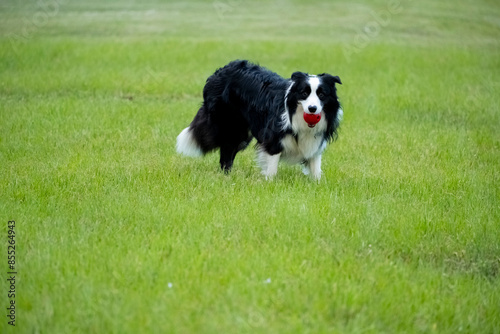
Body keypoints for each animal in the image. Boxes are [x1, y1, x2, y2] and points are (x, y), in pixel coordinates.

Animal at [174, 60, 342, 180]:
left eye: (322, 94)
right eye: (304, 93)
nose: (312, 109)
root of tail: (221, 70)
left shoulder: (315, 142)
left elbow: (315, 167)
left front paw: (317, 184)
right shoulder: (273, 137)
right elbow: (272, 163)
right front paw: (270, 183)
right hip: (231, 125)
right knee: (226, 151)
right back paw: (226, 176)